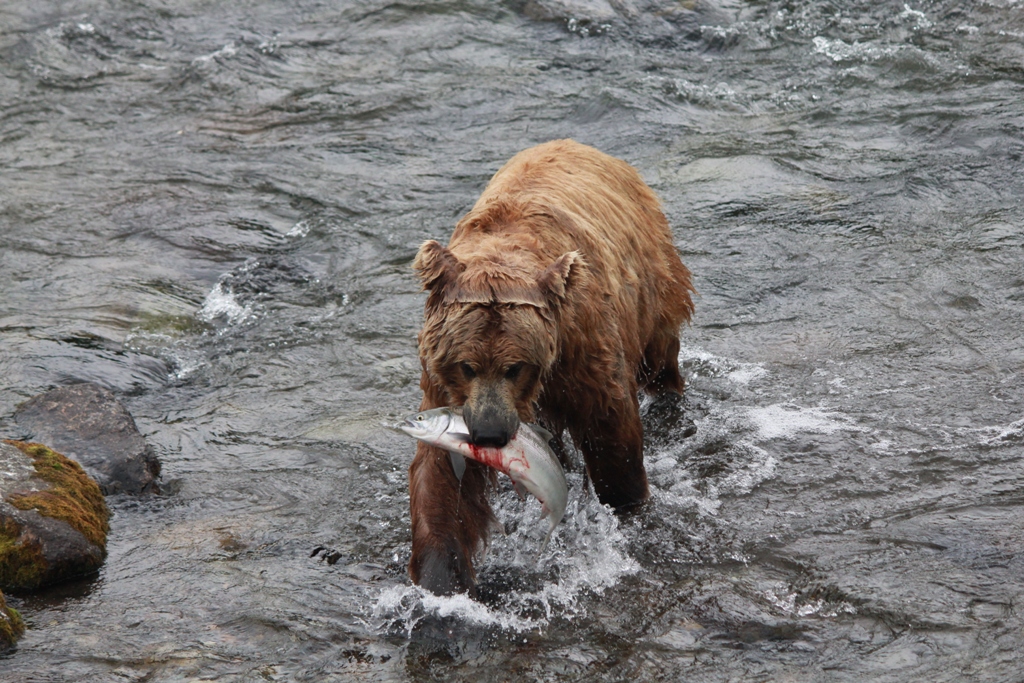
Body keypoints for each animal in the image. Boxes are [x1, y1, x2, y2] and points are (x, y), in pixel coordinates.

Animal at [407, 140, 696, 598]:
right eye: (467, 365)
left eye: (515, 367)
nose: (490, 434)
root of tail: (581, 146)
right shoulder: (444, 389)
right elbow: (442, 480)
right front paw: (441, 579)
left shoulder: (585, 354)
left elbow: (612, 436)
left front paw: (628, 504)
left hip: (654, 279)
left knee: (659, 355)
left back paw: (668, 398)